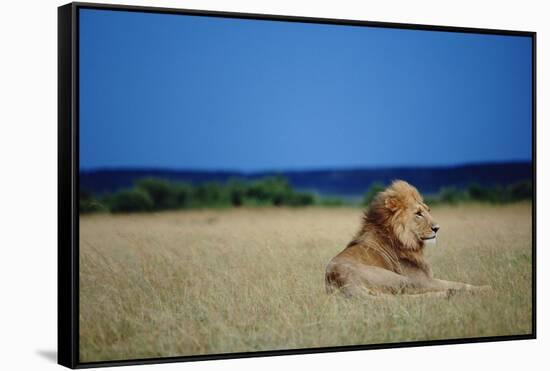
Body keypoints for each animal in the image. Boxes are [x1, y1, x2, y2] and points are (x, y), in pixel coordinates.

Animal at [326, 180, 490, 300]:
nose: (437, 228)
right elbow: (459, 283)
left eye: (428, 211)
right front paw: (485, 288)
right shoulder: (423, 280)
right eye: (418, 213)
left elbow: (458, 282)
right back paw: (449, 294)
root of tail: (338, 279)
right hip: (401, 280)